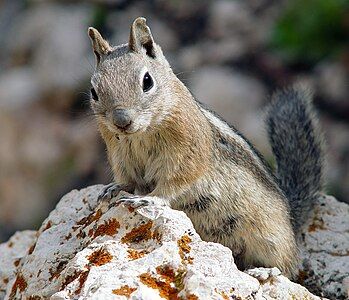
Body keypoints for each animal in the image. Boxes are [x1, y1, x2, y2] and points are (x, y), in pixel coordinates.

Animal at [85, 16, 322, 278]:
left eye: (147, 81)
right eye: (94, 91)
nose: (122, 121)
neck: (141, 134)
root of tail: (292, 220)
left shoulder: (187, 153)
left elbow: (174, 182)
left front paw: (150, 200)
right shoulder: (120, 156)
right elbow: (127, 179)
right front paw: (114, 188)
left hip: (270, 239)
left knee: (286, 266)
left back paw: (264, 271)